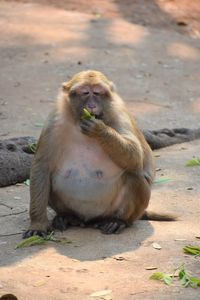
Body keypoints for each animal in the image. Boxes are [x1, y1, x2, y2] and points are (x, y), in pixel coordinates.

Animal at [23, 69, 174, 237]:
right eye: (85, 93)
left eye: (97, 93)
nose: (91, 105)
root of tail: (90, 219)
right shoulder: (54, 121)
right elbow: (42, 166)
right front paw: (38, 224)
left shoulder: (119, 113)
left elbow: (136, 157)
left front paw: (99, 130)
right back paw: (68, 216)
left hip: (113, 210)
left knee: (135, 175)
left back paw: (118, 221)